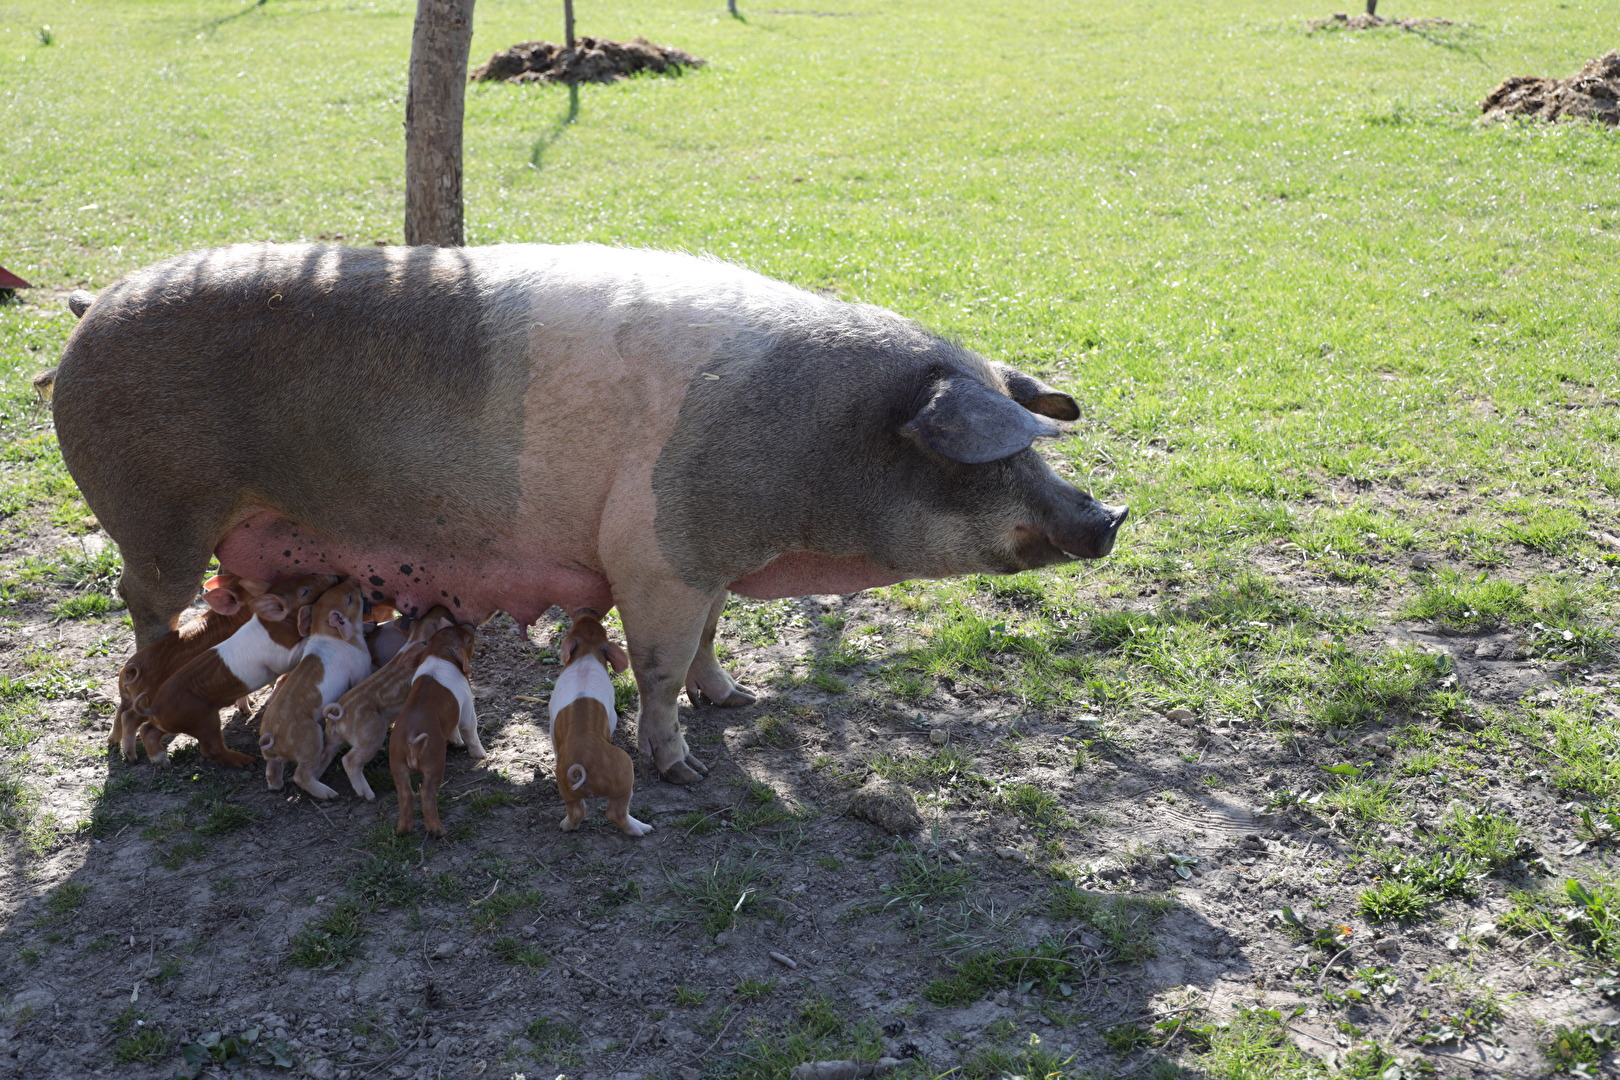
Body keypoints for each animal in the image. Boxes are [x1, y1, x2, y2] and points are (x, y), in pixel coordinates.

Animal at [59, 246, 1127, 786]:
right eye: (992, 455)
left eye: (1036, 446)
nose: (1109, 512)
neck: (816, 445)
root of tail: (90, 307)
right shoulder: (656, 554)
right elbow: (653, 667)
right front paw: (681, 768)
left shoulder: (702, 562)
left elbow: (708, 643)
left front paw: (737, 702)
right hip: (150, 517)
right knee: (144, 609)